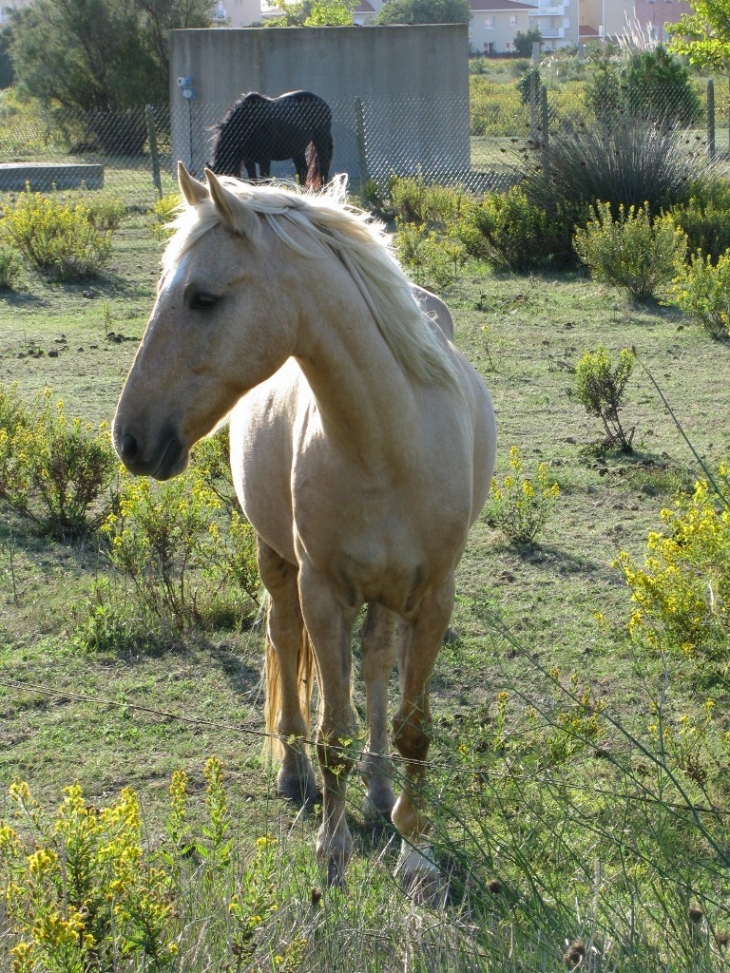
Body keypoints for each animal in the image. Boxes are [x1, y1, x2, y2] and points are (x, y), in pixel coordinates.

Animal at [112, 165, 494, 888]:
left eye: (203, 298)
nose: (130, 439)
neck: (387, 442)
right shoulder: (322, 590)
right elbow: (332, 732)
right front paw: (333, 851)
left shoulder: (434, 598)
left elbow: (413, 726)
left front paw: (416, 848)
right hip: (277, 559)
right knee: (286, 642)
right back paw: (294, 773)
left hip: (384, 594)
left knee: (374, 662)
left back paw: (378, 789)